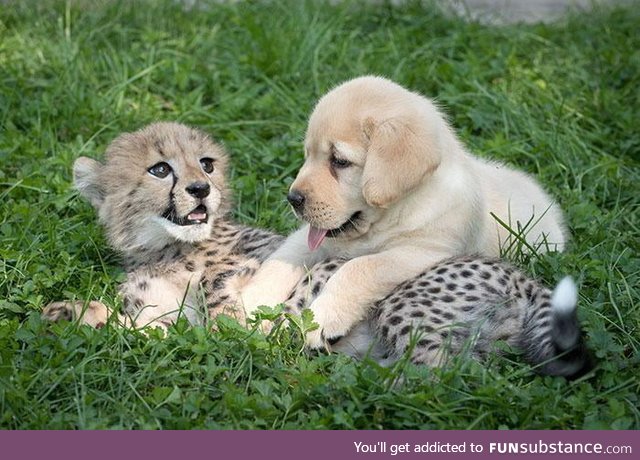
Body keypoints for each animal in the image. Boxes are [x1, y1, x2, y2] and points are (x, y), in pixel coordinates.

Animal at [240, 76, 564, 348]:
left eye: (339, 161)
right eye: (308, 155)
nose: (292, 198)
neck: (391, 215)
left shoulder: (423, 252)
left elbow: (360, 268)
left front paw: (323, 318)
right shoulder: (314, 238)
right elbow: (281, 260)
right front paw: (248, 302)